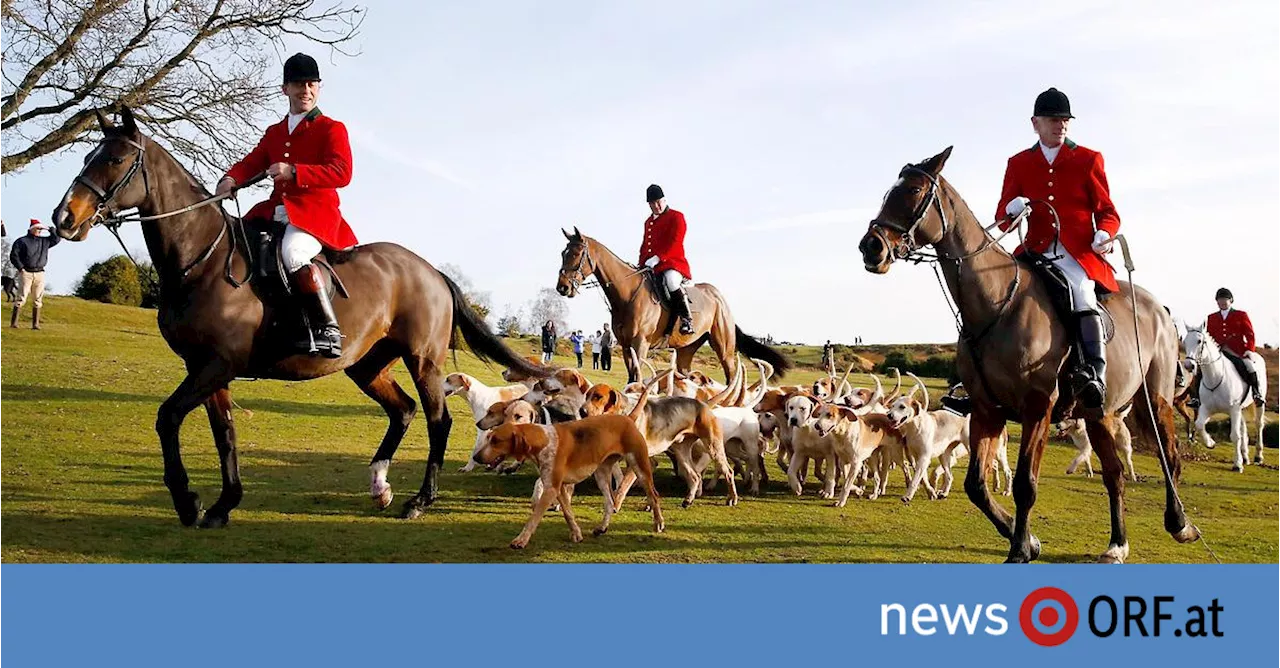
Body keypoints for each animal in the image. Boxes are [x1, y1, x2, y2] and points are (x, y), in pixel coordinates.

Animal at [51, 108, 545, 524]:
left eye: (115, 159)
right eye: (87, 155)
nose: (63, 218)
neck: (203, 260)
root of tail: (431, 270)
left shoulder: (216, 365)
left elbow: (167, 417)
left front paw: (188, 501)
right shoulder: (206, 368)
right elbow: (224, 433)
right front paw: (223, 504)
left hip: (422, 360)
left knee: (437, 421)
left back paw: (419, 500)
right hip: (366, 364)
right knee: (402, 410)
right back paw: (379, 485)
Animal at [558, 227, 788, 383]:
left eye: (576, 254)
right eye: (563, 253)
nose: (562, 287)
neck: (627, 294)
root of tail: (719, 298)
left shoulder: (640, 344)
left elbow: (636, 378)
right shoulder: (625, 345)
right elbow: (632, 379)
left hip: (724, 347)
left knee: (731, 375)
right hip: (687, 349)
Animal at [860, 147, 1198, 560]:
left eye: (912, 190)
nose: (871, 246)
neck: (996, 303)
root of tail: (1159, 307)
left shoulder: (1038, 407)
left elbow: (1025, 483)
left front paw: (1020, 547)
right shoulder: (986, 409)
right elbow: (976, 485)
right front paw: (1024, 538)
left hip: (1156, 401)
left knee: (1172, 457)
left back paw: (1180, 524)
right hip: (1098, 412)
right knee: (1115, 474)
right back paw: (1117, 544)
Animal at [1182, 322, 1264, 468]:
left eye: (1199, 341)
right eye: (1185, 342)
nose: (1188, 365)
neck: (1215, 377)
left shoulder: (1233, 409)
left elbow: (1235, 436)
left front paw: (1237, 464)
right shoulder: (1206, 408)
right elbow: (1199, 424)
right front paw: (1210, 443)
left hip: (1257, 403)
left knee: (1259, 425)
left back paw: (1258, 457)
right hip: (1240, 409)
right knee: (1243, 428)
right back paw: (1245, 456)